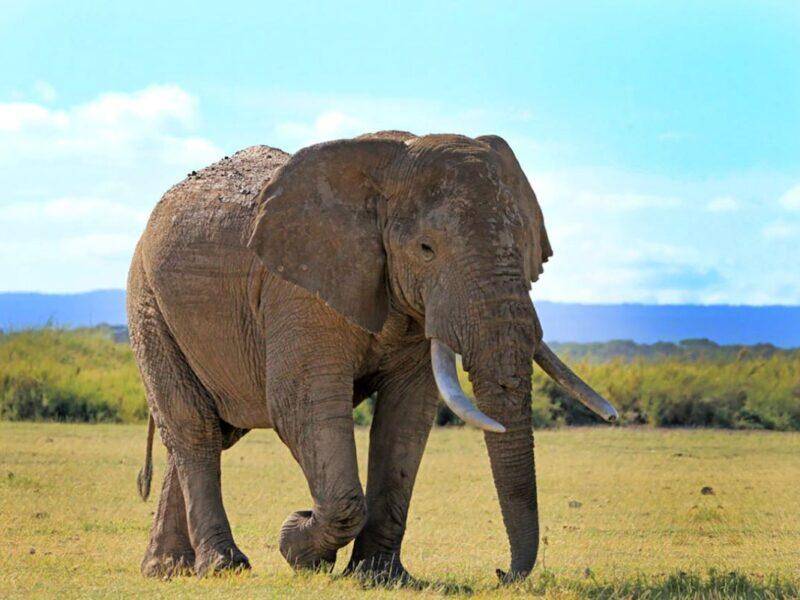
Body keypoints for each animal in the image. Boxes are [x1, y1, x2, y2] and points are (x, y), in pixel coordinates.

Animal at [128, 130, 617, 583]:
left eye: (523, 247)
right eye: (425, 249)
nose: (502, 573)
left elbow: (408, 415)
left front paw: (380, 576)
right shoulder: (298, 289)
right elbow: (300, 404)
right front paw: (297, 544)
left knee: (215, 429)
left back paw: (167, 570)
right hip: (147, 302)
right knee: (194, 428)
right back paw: (222, 567)